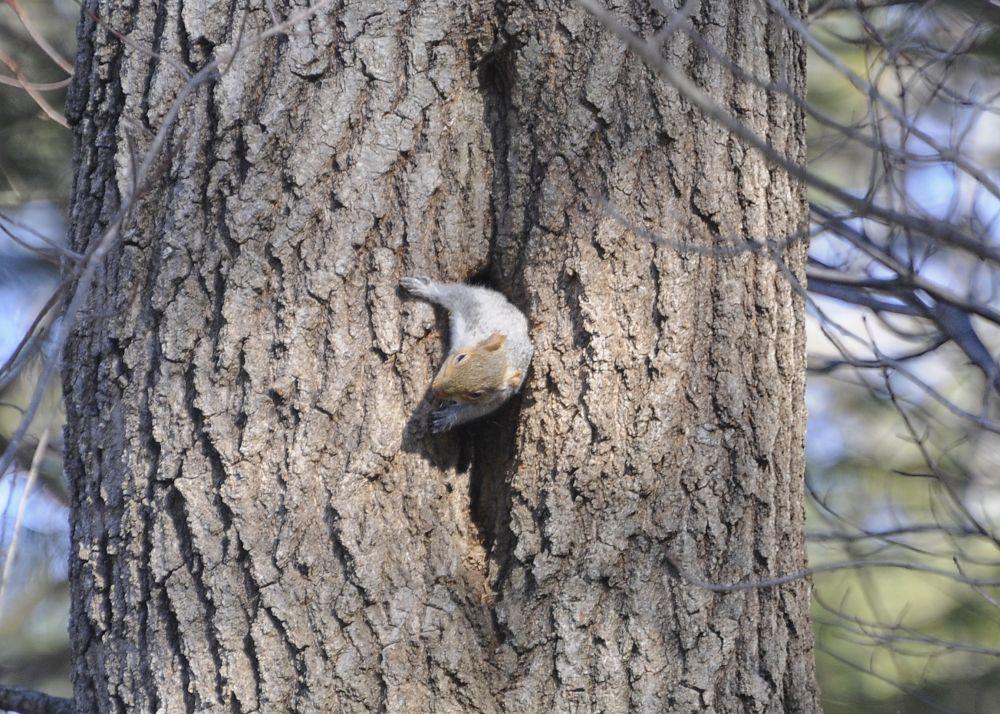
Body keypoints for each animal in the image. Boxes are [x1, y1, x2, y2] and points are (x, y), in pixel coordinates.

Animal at [400, 276, 532, 433]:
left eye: (476, 394)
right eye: (460, 357)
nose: (437, 390)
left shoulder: (499, 397)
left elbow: (474, 411)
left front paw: (448, 417)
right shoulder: (472, 306)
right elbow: (452, 295)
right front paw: (424, 287)